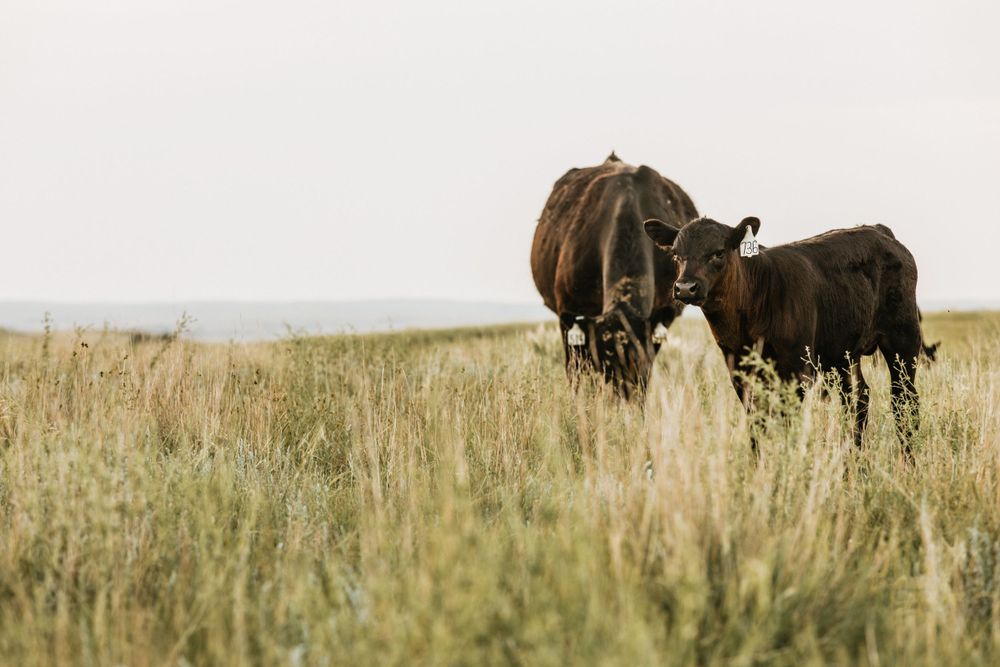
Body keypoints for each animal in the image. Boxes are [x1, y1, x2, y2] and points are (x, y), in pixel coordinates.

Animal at [643, 215, 934, 450]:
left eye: (718, 253)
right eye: (676, 255)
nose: (685, 287)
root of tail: (880, 231)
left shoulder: (797, 369)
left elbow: (785, 421)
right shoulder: (738, 367)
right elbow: (756, 421)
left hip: (904, 340)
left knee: (904, 402)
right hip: (840, 354)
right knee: (857, 398)